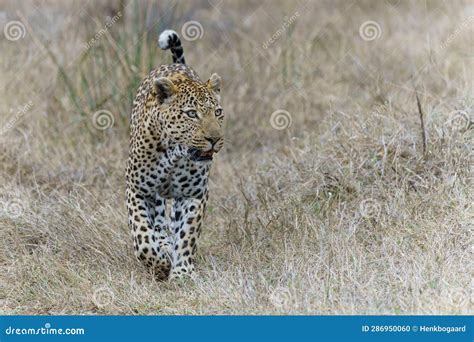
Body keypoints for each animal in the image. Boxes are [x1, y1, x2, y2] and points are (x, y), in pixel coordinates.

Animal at [125, 29, 223, 280]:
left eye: (218, 112)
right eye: (191, 114)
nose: (215, 139)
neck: (175, 156)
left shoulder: (194, 194)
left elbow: (187, 234)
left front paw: (182, 273)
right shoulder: (137, 190)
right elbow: (142, 236)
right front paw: (158, 264)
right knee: (158, 221)